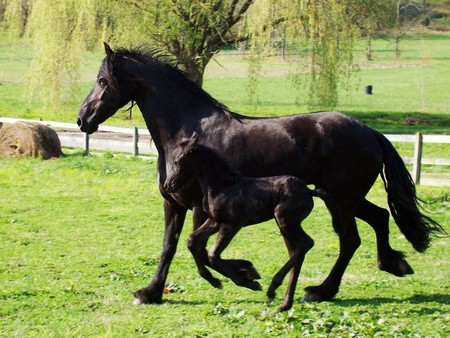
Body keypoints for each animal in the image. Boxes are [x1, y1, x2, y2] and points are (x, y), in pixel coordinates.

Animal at [165, 134, 342, 312]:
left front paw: (249, 280)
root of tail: (309, 191)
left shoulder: (231, 224)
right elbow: (192, 241)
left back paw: (272, 289)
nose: (167, 185)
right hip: (285, 225)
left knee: (305, 243)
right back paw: (284, 303)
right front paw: (225, 277)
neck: (222, 185)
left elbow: (213, 255)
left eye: (179, 160)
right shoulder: (214, 221)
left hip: (285, 221)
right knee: (297, 250)